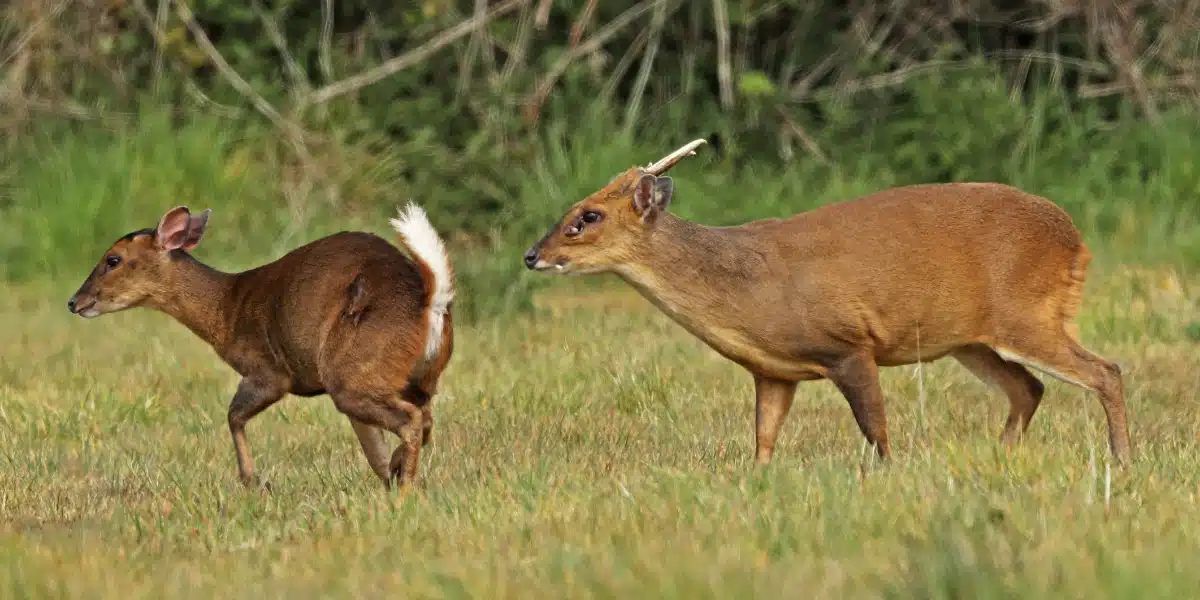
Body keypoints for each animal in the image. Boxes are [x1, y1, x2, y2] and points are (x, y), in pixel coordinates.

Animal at [67, 203, 455, 489]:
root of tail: (430, 301)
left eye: (113, 259)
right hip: (408, 378)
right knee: (423, 418)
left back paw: (405, 487)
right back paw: (402, 475)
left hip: (352, 372)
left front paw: (253, 481)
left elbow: (233, 415)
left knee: (411, 420)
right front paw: (388, 471)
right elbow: (371, 443)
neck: (227, 309)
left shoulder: (268, 371)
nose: (74, 302)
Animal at [522, 139, 1131, 467]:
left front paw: (889, 478)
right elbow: (763, 441)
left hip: (1024, 310)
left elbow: (876, 430)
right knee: (1029, 387)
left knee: (1105, 370)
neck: (745, 296)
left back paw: (1122, 461)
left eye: (588, 216)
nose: (532, 255)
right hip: (968, 338)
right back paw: (999, 457)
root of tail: (1076, 239)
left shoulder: (849, 344)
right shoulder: (772, 372)